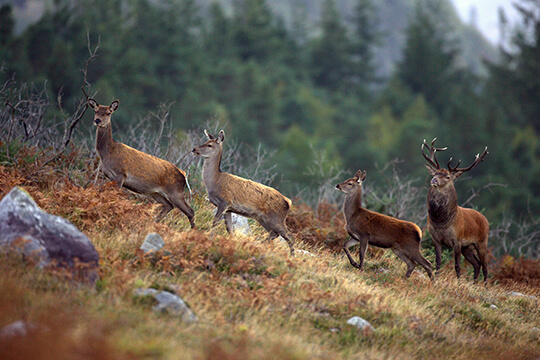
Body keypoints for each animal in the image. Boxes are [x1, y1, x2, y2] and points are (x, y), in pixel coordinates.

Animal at [88, 98, 196, 228]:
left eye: (108, 113)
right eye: (96, 111)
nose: (97, 120)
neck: (107, 153)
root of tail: (183, 174)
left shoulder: (120, 174)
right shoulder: (109, 176)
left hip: (175, 191)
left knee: (190, 210)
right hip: (155, 192)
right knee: (169, 206)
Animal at [422, 138, 490, 282]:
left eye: (447, 176)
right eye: (435, 173)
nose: (433, 180)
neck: (441, 221)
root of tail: (485, 219)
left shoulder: (457, 240)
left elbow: (457, 265)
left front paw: (458, 282)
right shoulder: (436, 238)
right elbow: (438, 261)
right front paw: (435, 279)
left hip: (482, 242)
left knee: (485, 265)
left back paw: (484, 284)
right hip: (467, 247)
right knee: (477, 264)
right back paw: (474, 283)